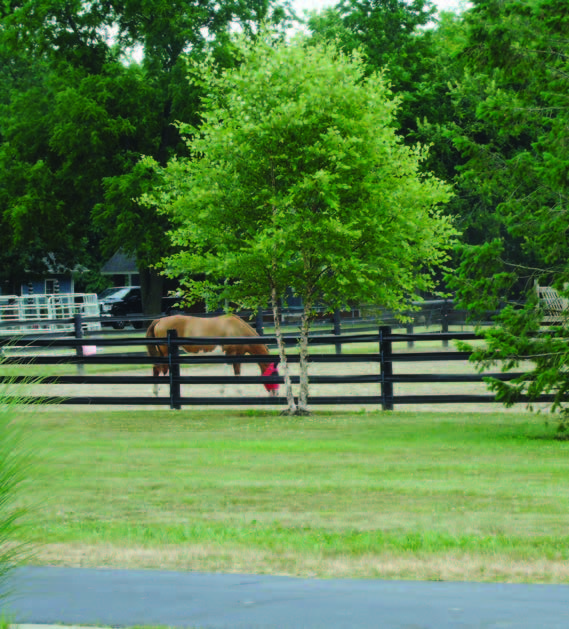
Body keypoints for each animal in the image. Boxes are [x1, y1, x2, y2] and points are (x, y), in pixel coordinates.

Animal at [145, 314, 278, 398]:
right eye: (274, 375)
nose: (275, 393)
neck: (237, 329)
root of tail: (159, 320)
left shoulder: (236, 354)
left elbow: (235, 372)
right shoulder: (230, 354)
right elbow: (231, 373)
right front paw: (234, 391)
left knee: (157, 368)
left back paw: (156, 392)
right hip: (165, 352)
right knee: (162, 369)